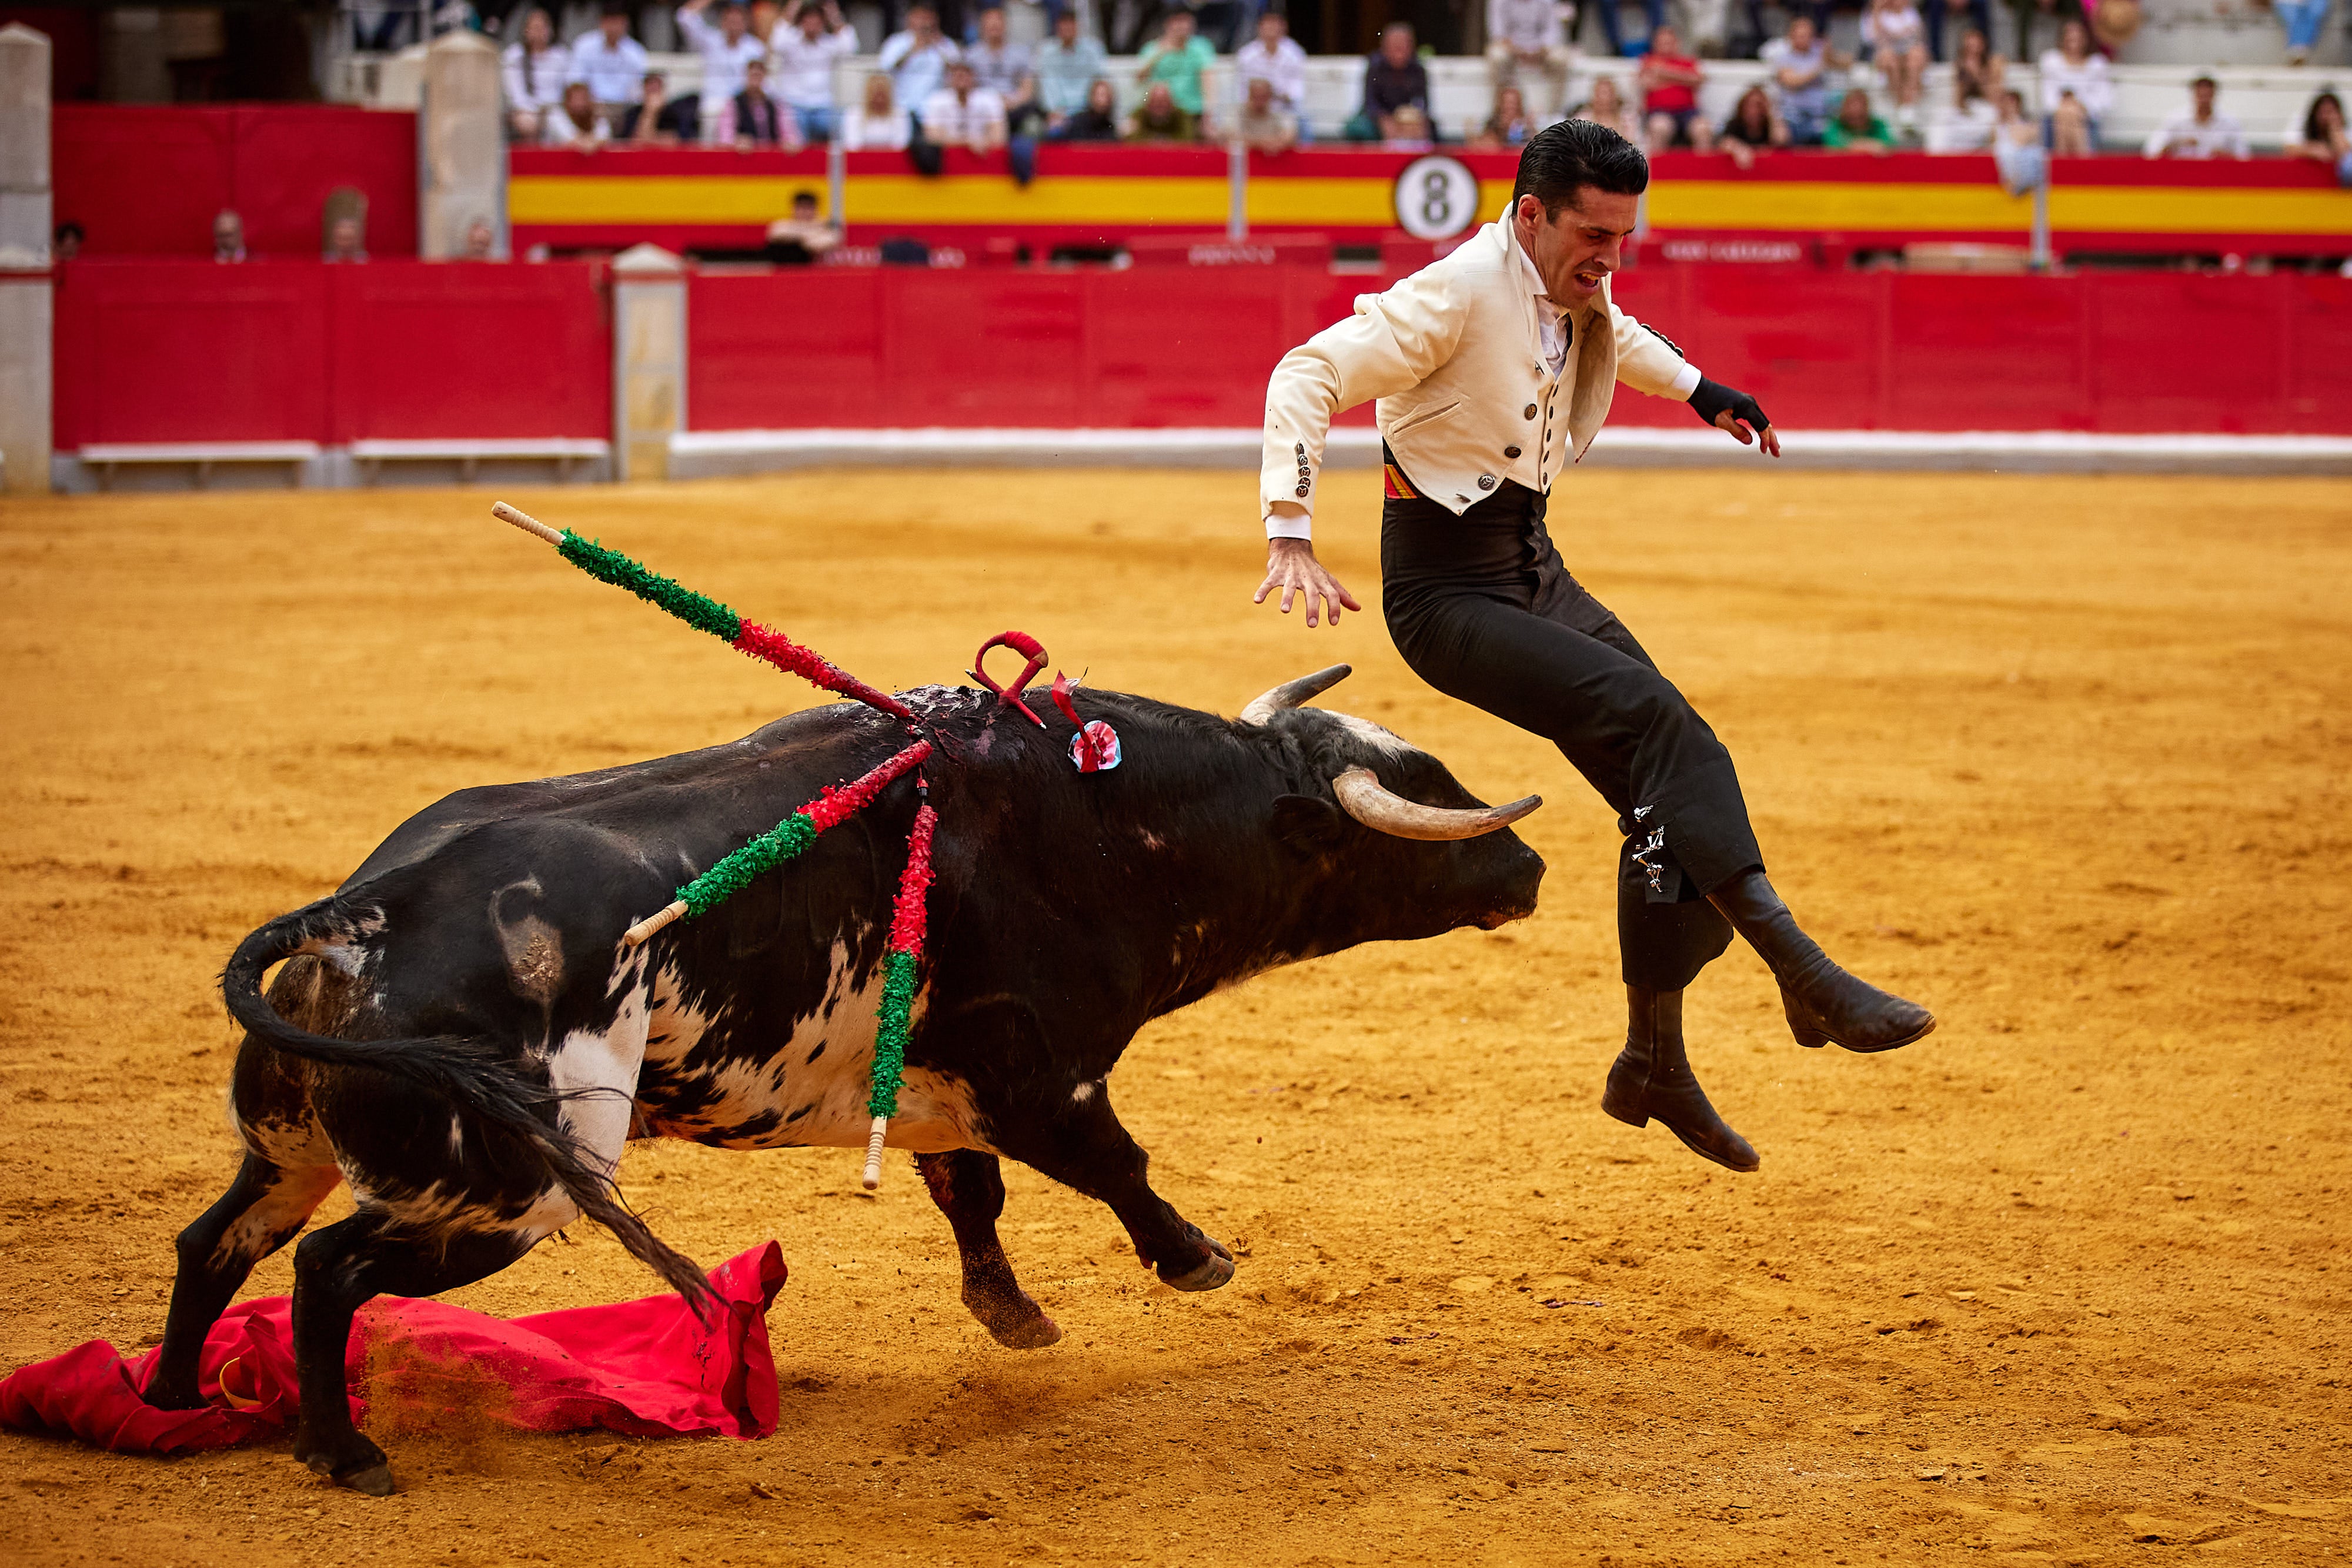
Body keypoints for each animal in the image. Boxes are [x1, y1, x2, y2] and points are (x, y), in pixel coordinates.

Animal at [142, 667, 1543, 1495]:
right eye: (1412, 796)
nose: (1528, 867)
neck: (1103, 819)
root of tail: (363, 910)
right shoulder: (1042, 1072)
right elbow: (1113, 1164)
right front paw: (1195, 1259)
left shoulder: (940, 1080)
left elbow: (969, 1195)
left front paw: (1011, 1315)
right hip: (510, 1189)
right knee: (330, 1270)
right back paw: (344, 1452)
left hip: (291, 1140)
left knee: (222, 1237)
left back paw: (171, 1399)